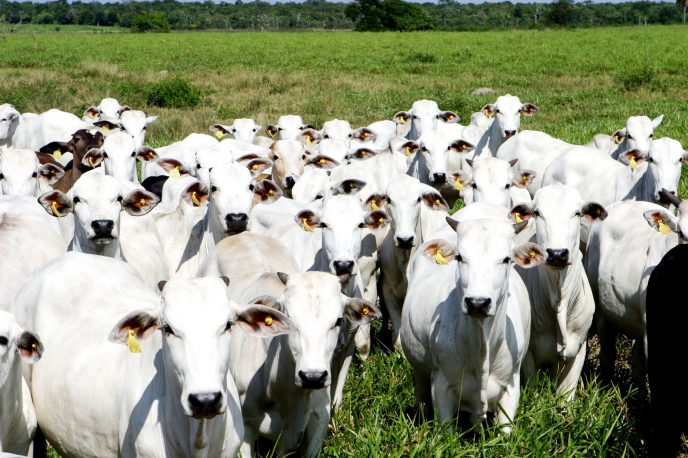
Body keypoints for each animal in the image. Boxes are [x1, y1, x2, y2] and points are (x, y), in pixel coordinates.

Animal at [199, 234, 378, 456]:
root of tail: (240, 236)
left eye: (338, 321)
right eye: (289, 318)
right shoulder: (246, 428)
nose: (313, 377)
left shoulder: (319, 420)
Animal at [400, 218, 540, 432]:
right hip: (420, 372)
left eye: (506, 259)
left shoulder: (511, 386)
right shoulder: (440, 385)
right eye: (459, 257)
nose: (477, 303)